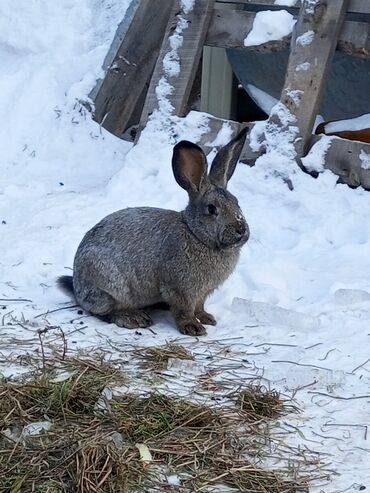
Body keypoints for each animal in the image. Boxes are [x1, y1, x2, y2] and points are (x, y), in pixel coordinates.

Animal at [57, 127, 249, 334]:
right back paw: (133, 318)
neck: (195, 234)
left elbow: (199, 306)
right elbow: (184, 310)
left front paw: (207, 318)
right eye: (212, 209)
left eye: (237, 202)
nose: (241, 230)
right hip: (109, 287)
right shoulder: (179, 289)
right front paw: (193, 328)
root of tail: (77, 286)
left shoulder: (202, 294)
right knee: (102, 311)